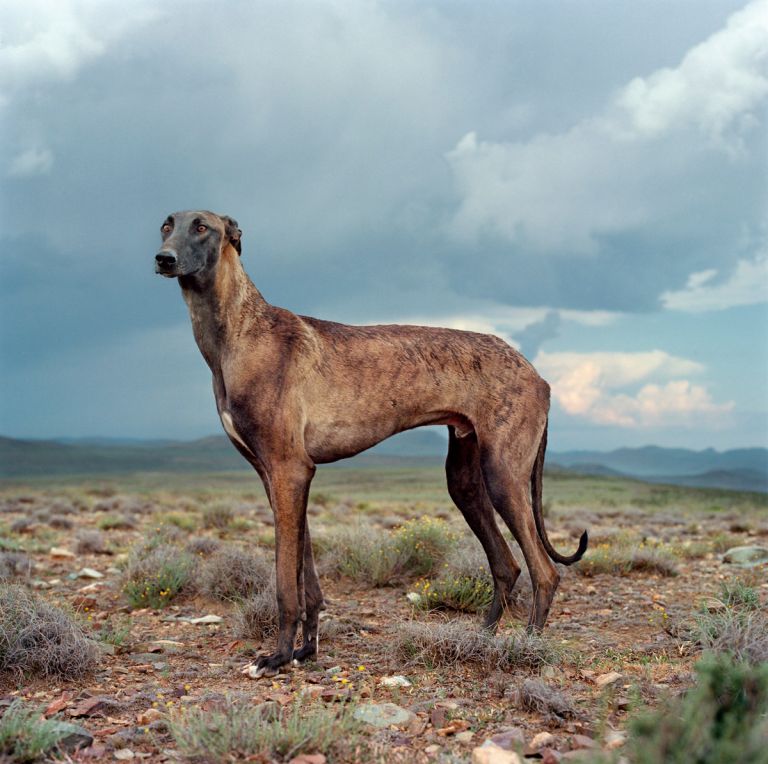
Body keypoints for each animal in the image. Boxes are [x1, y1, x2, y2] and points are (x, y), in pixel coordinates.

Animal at [154, 209, 588, 676]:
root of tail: (537, 374)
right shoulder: (278, 477)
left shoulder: (289, 470)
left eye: (202, 226)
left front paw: (278, 656)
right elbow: (307, 579)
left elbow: (286, 583)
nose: (163, 259)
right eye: (167, 225)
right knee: (506, 565)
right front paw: (306, 650)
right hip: (466, 479)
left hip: (503, 475)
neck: (240, 332)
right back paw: (480, 640)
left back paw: (527, 649)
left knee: (545, 571)